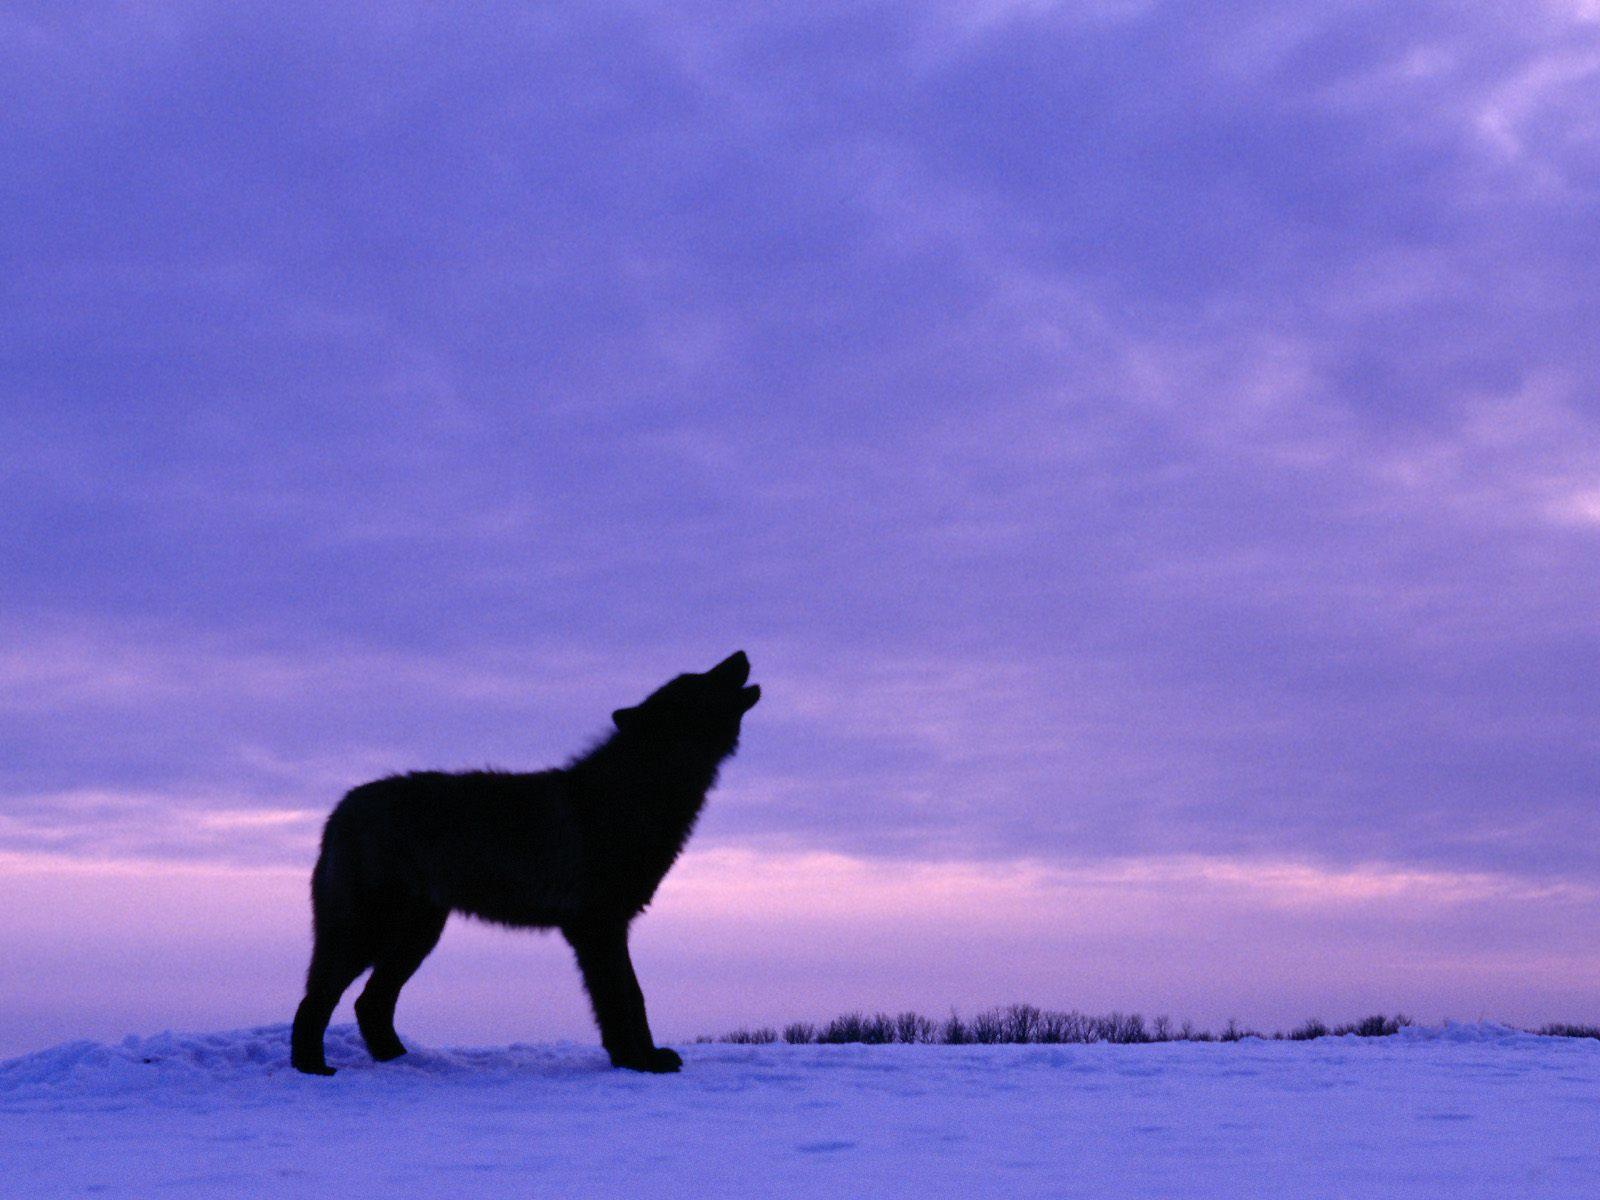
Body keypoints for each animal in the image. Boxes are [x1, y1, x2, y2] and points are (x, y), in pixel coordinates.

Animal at [289, 651, 760, 1076]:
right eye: (699, 680)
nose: (740, 654)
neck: (638, 793)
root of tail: (341, 808)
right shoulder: (598, 928)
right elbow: (621, 999)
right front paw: (637, 1061)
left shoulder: (609, 928)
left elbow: (629, 998)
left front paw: (640, 1057)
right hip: (370, 933)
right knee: (316, 999)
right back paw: (313, 1068)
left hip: (417, 937)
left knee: (369, 1002)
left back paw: (402, 1062)